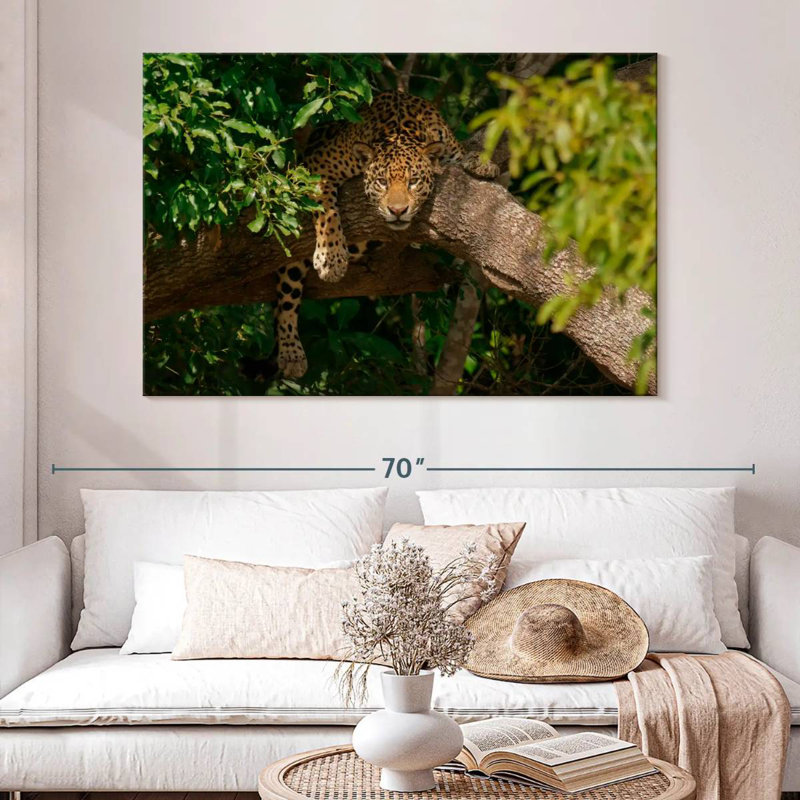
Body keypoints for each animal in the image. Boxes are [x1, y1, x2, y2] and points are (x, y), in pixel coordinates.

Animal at [275, 91, 499, 378]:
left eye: (413, 182)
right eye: (382, 182)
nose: (398, 211)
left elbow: (461, 155)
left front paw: (482, 164)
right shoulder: (316, 167)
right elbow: (327, 211)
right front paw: (331, 258)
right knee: (286, 299)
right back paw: (291, 353)